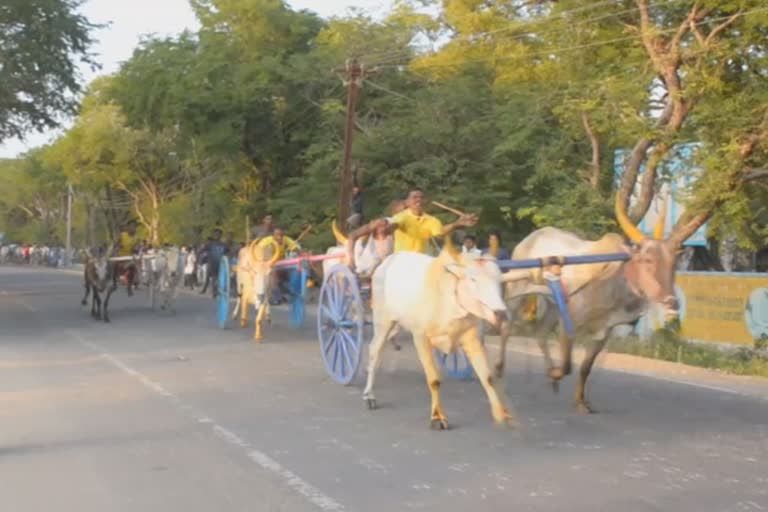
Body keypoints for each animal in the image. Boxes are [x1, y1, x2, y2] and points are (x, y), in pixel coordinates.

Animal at [364, 246, 520, 430]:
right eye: (473, 279)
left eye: (499, 281)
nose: (501, 314)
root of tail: (387, 261)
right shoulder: (420, 337)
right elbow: (434, 380)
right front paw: (437, 417)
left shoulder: (471, 337)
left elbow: (487, 378)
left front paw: (502, 414)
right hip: (383, 321)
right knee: (375, 352)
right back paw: (369, 395)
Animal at [496, 192, 680, 412]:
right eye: (647, 260)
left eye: (673, 262)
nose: (671, 302)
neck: (613, 281)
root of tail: (530, 238)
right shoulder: (569, 326)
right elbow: (567, 366)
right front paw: (557, 374)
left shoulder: (603, 332)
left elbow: (585, 367)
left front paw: (580, 401)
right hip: (516, 292)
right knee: (506, 328)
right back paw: (499, 368)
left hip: (552, 304)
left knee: (540, 334)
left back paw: (550, 374)